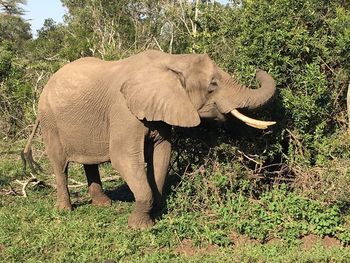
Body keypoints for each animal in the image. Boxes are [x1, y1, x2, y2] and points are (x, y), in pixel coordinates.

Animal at [22, 49, 276, 229]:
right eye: (213, 85)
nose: (257, 69)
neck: (172, 61)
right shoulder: (123, 111)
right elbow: (123, 157)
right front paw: (140, 226)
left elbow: (162, 154)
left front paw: (157, 212)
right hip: (49, 120)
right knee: (60, 165)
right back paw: (65, 210)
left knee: (89, 163)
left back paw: (104, 204)